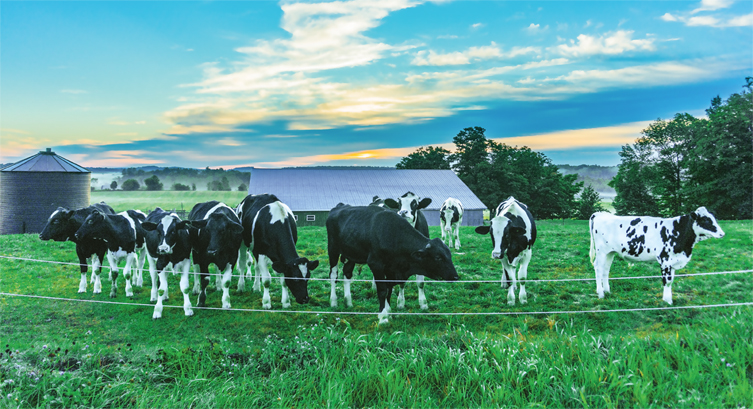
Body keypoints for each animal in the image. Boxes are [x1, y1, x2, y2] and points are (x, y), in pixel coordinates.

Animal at [326, 204, 459, 324]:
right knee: (333, 275)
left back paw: (348, 302)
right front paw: (383, 316)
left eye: (449, 255)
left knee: (347, 273)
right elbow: (382, 290)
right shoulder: (376, 264)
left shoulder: (391, 268)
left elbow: (389, 288)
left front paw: (388, 312)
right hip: (333, 250)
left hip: (351, 255)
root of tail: (339, 207)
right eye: (438, 257)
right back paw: (333, 302)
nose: (455, 276)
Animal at [589, 207, 725, 304]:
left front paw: (667, 299)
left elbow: (671, 280)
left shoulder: (673, 262)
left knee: (605, 270)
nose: (722, 234)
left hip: (610, 252)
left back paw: (607, 291)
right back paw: (600, 294)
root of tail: (600, 214)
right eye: (705, 220)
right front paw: (668, 301)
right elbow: (667, 281)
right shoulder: (665, 260)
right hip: (601, 251)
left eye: (714, 218)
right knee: (598, 269)